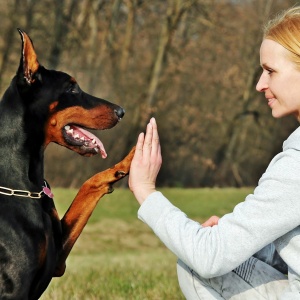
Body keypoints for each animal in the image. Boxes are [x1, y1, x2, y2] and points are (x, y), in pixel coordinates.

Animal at [0, 28, 135, 300]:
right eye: (72, 88)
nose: (121, 111)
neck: (27, 185)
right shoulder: (14, 287)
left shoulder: (57, 259)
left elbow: (87, 187)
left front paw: (132, 157)